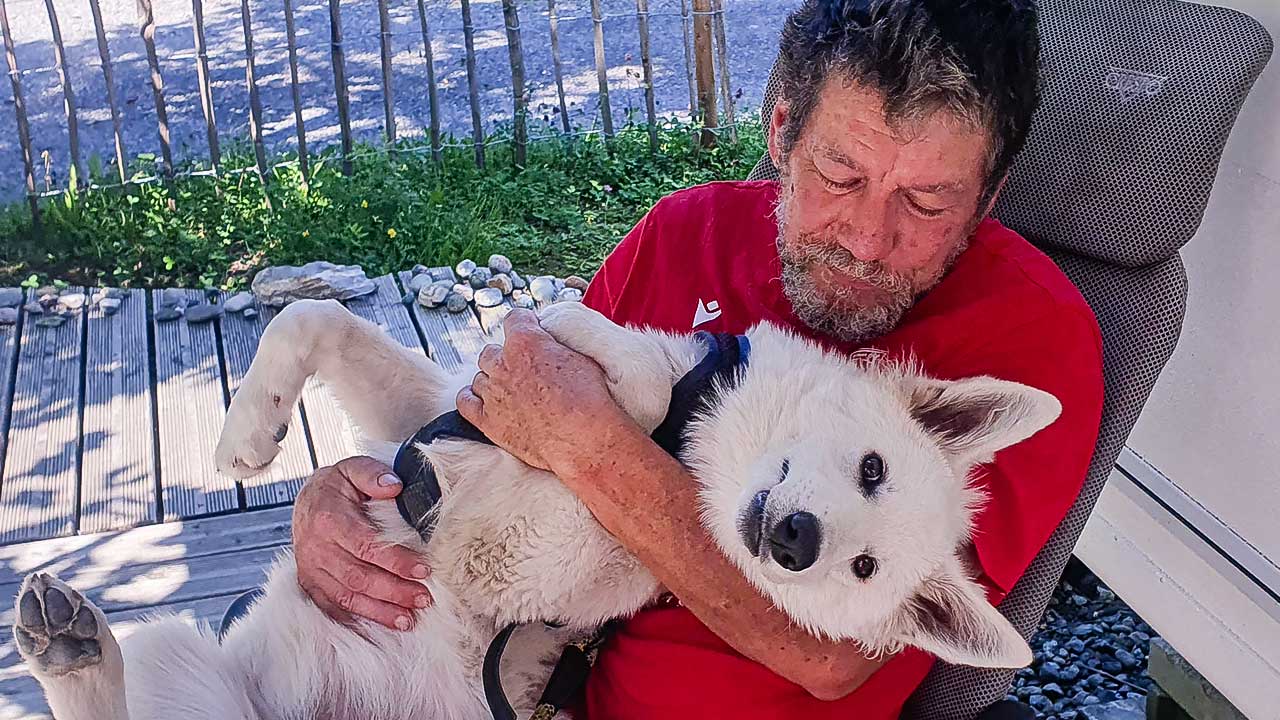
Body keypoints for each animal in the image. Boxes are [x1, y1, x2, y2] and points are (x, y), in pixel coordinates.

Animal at [12, 297, 1059, 717]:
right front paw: (250, 431)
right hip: (179, 651)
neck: (693, 445)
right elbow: (315, 318)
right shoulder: (439, 411)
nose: (797, 540)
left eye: (865, 569)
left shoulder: (549, 561)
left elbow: (616, 413)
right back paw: (73, 647)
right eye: (874, 469)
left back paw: (73, 650)